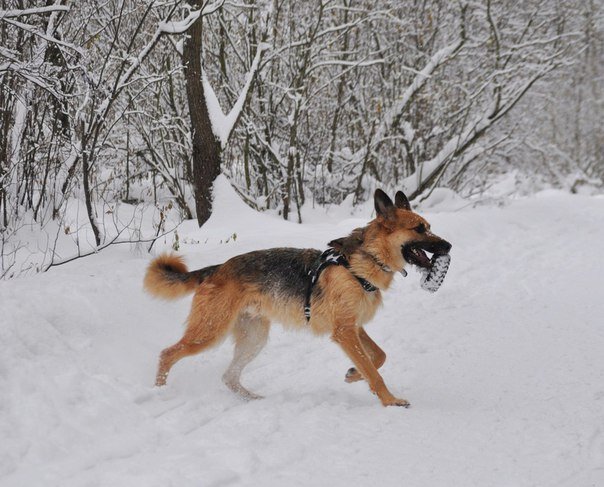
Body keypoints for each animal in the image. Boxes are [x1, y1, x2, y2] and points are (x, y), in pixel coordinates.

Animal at [144, 191, 450, 408]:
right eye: (419, 229)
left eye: (429, 226)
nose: (448, 245)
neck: (363, 263)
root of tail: (217, 268)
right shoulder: (345, 331)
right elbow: (375, 371)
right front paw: (390, 401)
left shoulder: (354, 328)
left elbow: (378, 356)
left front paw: (353, 373)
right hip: (209, 333)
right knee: (167, 354)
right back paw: (159, 391)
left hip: (253, 339)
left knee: (228, 377)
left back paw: (253, 400)